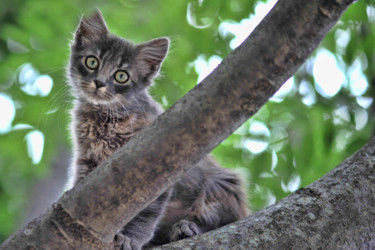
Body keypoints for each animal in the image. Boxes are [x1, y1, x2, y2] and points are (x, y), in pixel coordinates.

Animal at [67, 9, 250, 250]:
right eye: (92, 62)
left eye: (121, 76)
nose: (99, 82)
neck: (106, 117)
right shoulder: (87, 162)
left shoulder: (159, 171)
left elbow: (146, 214)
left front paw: (131, 238)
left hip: (222, 186)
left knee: (221, 219)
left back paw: (186, 228)